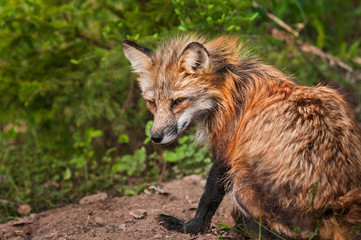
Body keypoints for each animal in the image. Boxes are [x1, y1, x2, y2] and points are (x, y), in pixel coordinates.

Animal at [121, 35, 360, 240]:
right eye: (151, 103)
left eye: (178, 101)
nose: (155, 137)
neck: (226, 91)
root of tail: (335, 206)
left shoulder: (226, 150)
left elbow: (208, 197)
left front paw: (190, 227)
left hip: (241, 180)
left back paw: (239, 229)